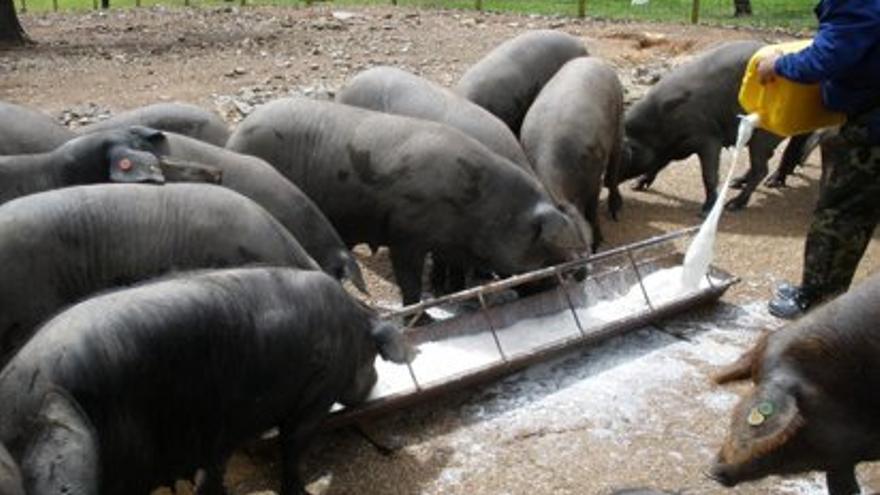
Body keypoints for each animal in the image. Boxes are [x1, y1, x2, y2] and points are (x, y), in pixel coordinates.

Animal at [0, 267, 414, 494]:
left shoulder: (220, 428)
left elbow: (213, 470)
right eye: (373, 356)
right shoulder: (316, 396)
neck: (350, 331)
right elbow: (293, 448)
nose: (374, 384)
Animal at [227, 97, 587, 306]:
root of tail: (236, 136)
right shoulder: (405, 233)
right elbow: (409, 279)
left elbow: (449, 271)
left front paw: (452, 296)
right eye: (548, 250)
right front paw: (423, 313)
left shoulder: (451, 244)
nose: (578, 274)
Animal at [520, 57, 624, 250]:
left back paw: (616, 212)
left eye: (579, 245)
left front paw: (599, 242)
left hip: (619, 117)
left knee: (614, 164)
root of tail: (592, 59)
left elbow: (592, 210)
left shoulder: (594, 176)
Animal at [622, 40, 786, 213]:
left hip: (763, 134)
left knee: (761, 170)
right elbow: (657, 166)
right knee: (765, 160)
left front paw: (706, 210)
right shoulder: (669, 149)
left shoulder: (709, 138)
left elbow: (709, 175)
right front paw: (636, 186)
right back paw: (735, 183)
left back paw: (733, 204)